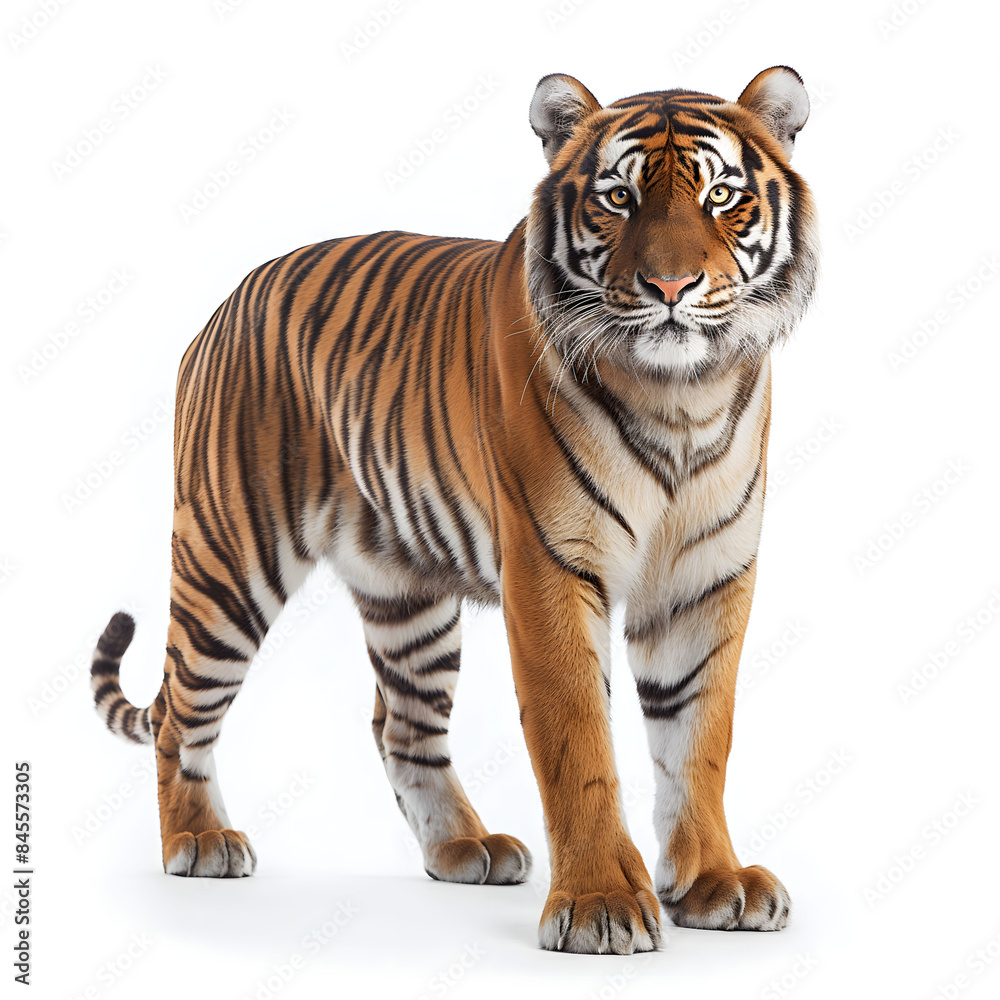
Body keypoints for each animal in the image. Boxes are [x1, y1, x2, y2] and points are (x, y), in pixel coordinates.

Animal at [90, 65, 818, 955]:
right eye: (618, 197)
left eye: (720, 197)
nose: (672, 288)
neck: (683, 396)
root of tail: (227, 301)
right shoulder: (549, 564)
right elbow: (578, 737)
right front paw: (601, 902)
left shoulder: (706, 576)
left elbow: (699, 738)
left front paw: (716, 883)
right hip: (228, 559)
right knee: (180, 713)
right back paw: (198, 839)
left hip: (406, 594)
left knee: (399, 726)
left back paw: (463, 848)